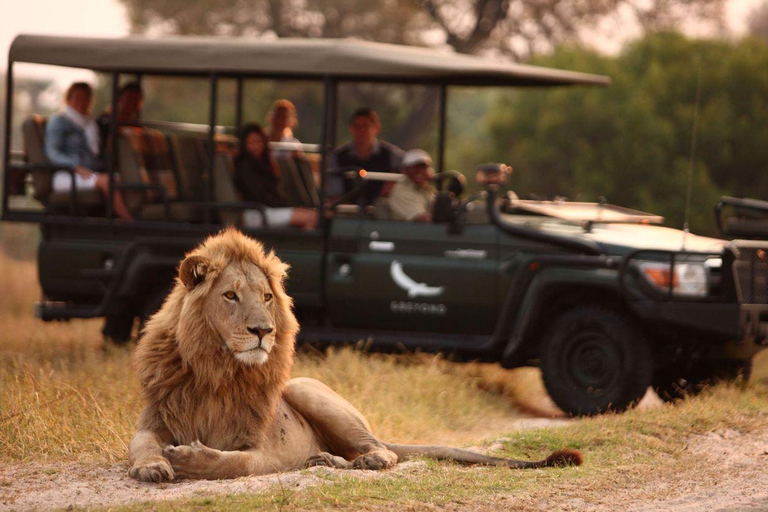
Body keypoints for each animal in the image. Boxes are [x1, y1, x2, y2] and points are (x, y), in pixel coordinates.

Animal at [127, 230, 584, 482]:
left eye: (267, 297)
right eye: (230, 296)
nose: (263, 331)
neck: (216, 371)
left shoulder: (265, 452)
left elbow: (234, 463)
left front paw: (190, 459)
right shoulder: (155, 418)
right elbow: (141, 444)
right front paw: (152, 465)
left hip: (309, 389)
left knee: (384, 451)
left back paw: (348, 460)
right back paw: (325, 459)